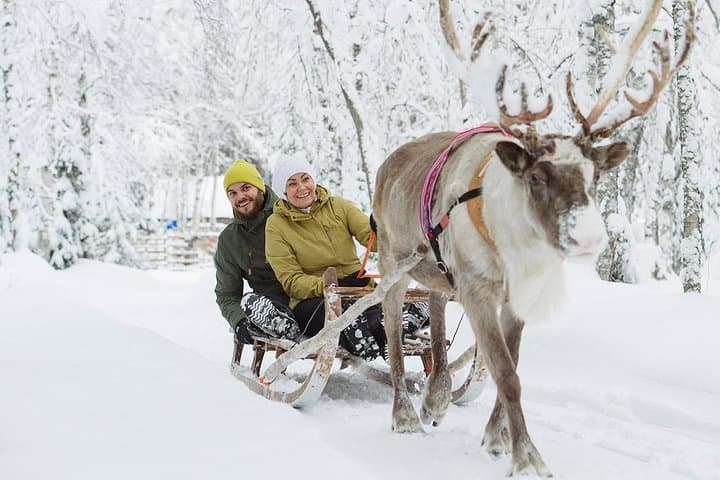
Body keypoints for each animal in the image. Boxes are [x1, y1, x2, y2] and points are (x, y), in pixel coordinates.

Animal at [372, 1, 694, 476]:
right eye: (538, 176)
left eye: (595, 176)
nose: (589, 238)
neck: (514, 251)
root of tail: (388, 163)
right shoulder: (478, 289)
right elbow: (507, 374)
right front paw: (527, 456)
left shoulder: (518, 293)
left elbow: (511, 362)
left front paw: (496, 438)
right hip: (392, 263)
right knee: (393, 330)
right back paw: (406, 413)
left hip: (439, 269)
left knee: (436, 303)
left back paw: (437, 396)